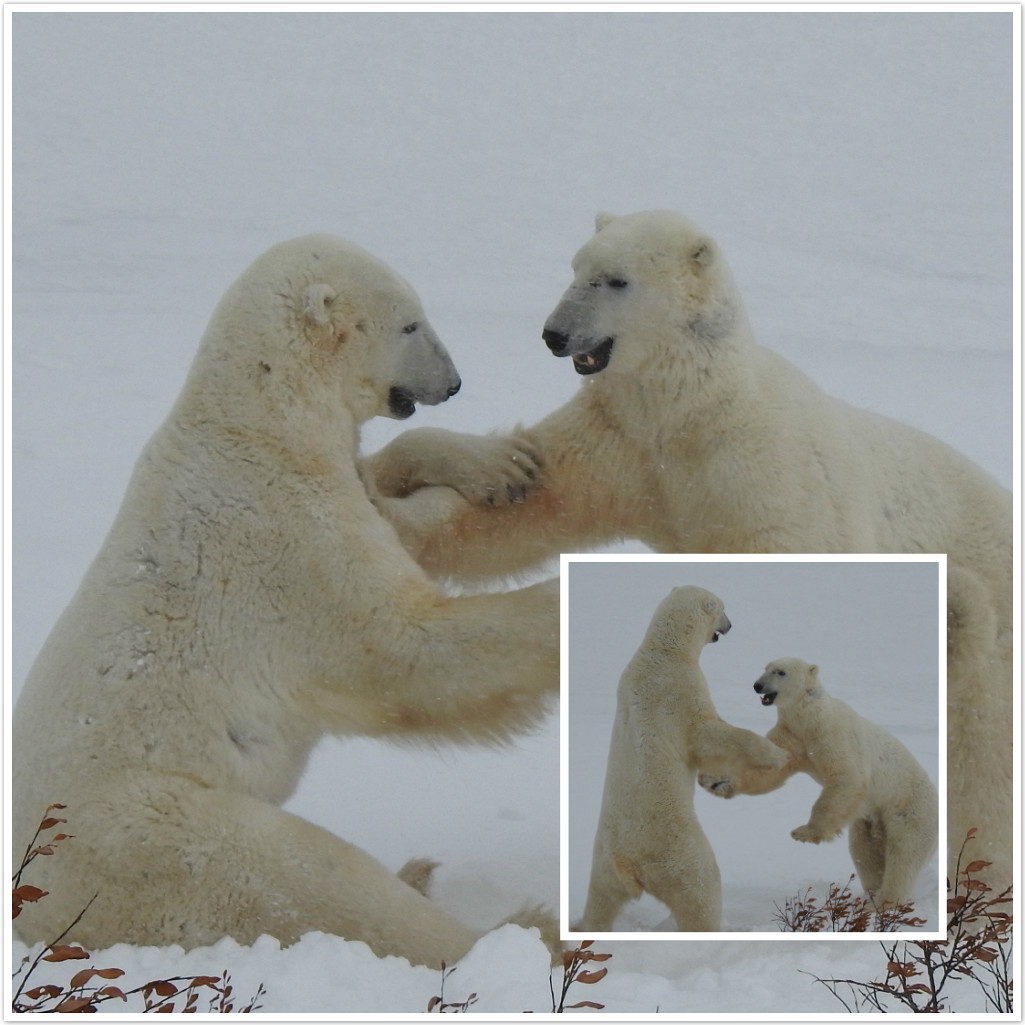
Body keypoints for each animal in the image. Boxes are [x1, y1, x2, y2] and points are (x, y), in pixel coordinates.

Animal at [14, 234, 561, 967]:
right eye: (410, 324)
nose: (452, 383)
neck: (257, 420)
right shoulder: (285, 541)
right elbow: (410, 648)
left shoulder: (324, 480)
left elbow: (383, 499)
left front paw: (503, 465)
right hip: (145, 832)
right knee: (309, 879)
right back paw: (518, 929)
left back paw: (421, 876)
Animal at [578, 590, 791, 934]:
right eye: (722, 609)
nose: (730, 625)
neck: (663, 650)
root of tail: (629, 864)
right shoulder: (678, 690)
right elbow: (707, 734)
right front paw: (776, 754)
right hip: (678, 851)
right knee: (702, 889)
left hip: (603, 862)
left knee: (600, 903)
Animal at [705, 656, 938, 906]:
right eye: (765, 668)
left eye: (780, 672)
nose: (757, 685)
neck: (808, 716)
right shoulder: (793, 736)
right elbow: (770, 769)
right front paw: (716, 782)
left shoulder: (831, 732)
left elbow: (846, 774)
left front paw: (804, 832)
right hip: (868, 821)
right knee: (864, 851)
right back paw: (871, 894)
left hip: (909, 810)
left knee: (904, 854)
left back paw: (883, 901)